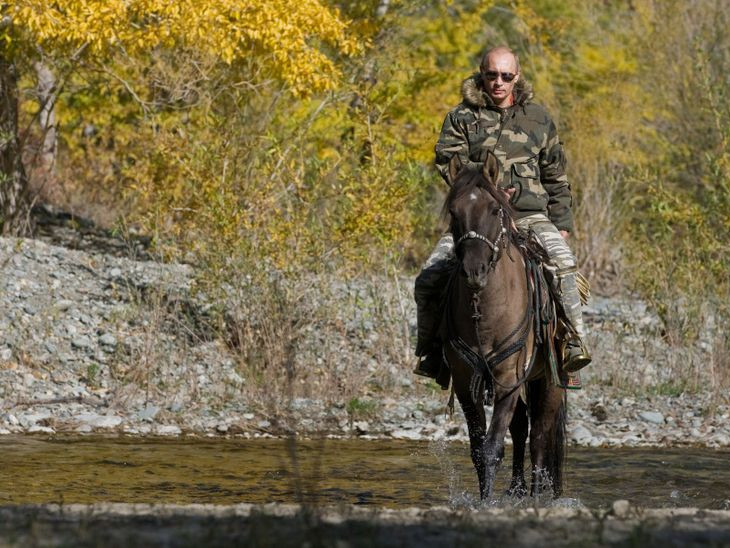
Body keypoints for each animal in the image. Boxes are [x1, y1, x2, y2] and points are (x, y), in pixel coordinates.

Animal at [440, 150, 564, 500]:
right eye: (454, 211)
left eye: (495, 209)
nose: (475, 270)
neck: (485, 312)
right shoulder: (466, 382)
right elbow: (478, 449)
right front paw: (485, 498)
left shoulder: (509, 378)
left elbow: (494, 446)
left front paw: (487, 503)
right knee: (522, 428)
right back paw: (517, 489)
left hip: (549, 381)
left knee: (540, 436)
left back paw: (535, 495)